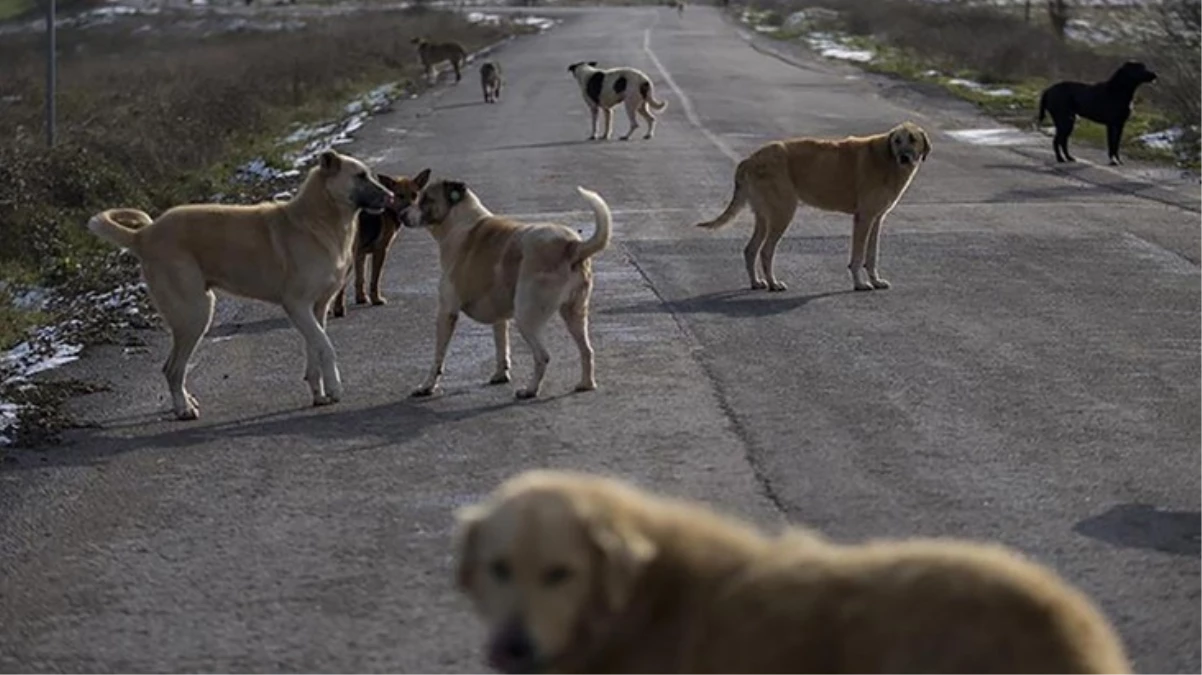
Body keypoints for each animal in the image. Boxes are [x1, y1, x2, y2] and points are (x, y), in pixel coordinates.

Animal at [85, 149, 394, 417]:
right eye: (360, 176)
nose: (391, 197)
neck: (319, 220)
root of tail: (143, 235)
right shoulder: (297, 305)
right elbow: (326, 347)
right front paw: (335, 388)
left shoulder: (316, 309)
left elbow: (315, 351)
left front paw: (320, 394)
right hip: (195, 314)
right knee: (172, 369)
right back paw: (183, 409)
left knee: (173, 368)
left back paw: (186, 401)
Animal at [331, 168, 430, 317]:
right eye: (400, 195)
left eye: (414, 195)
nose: (409, 213)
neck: (389, 208)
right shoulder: (380, 250)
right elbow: (375, 279)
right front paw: (376, 299)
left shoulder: (360, 255)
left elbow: (360, 279)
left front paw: (361, 298)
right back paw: (339, 309)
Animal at [403, 178, 610, 398]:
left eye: (426, 199)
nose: (401, 215)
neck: (459, 222)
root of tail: (571, 245)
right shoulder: (499, 316)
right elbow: (501, 345)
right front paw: (500, 374)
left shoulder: (446, 312)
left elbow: (438, 357)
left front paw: (427, 386)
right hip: (574, 313)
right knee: (587, 350)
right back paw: (586, 384)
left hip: (526, 317)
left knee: (543, 356)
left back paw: (530, 390)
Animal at [692, 121, 932, 290]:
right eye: (897, 141)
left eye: (912, 139)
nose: (903, 157)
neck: (887, 159)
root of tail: (749, 159)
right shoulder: (864, 218)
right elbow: (857, 257)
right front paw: (860, 284)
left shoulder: (876, 219)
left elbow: (871, 255)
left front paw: (875, 280)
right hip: (783, 213)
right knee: (766, 251)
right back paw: (773, 284)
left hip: (764, 216)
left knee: (750, 249)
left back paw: (757, 282)